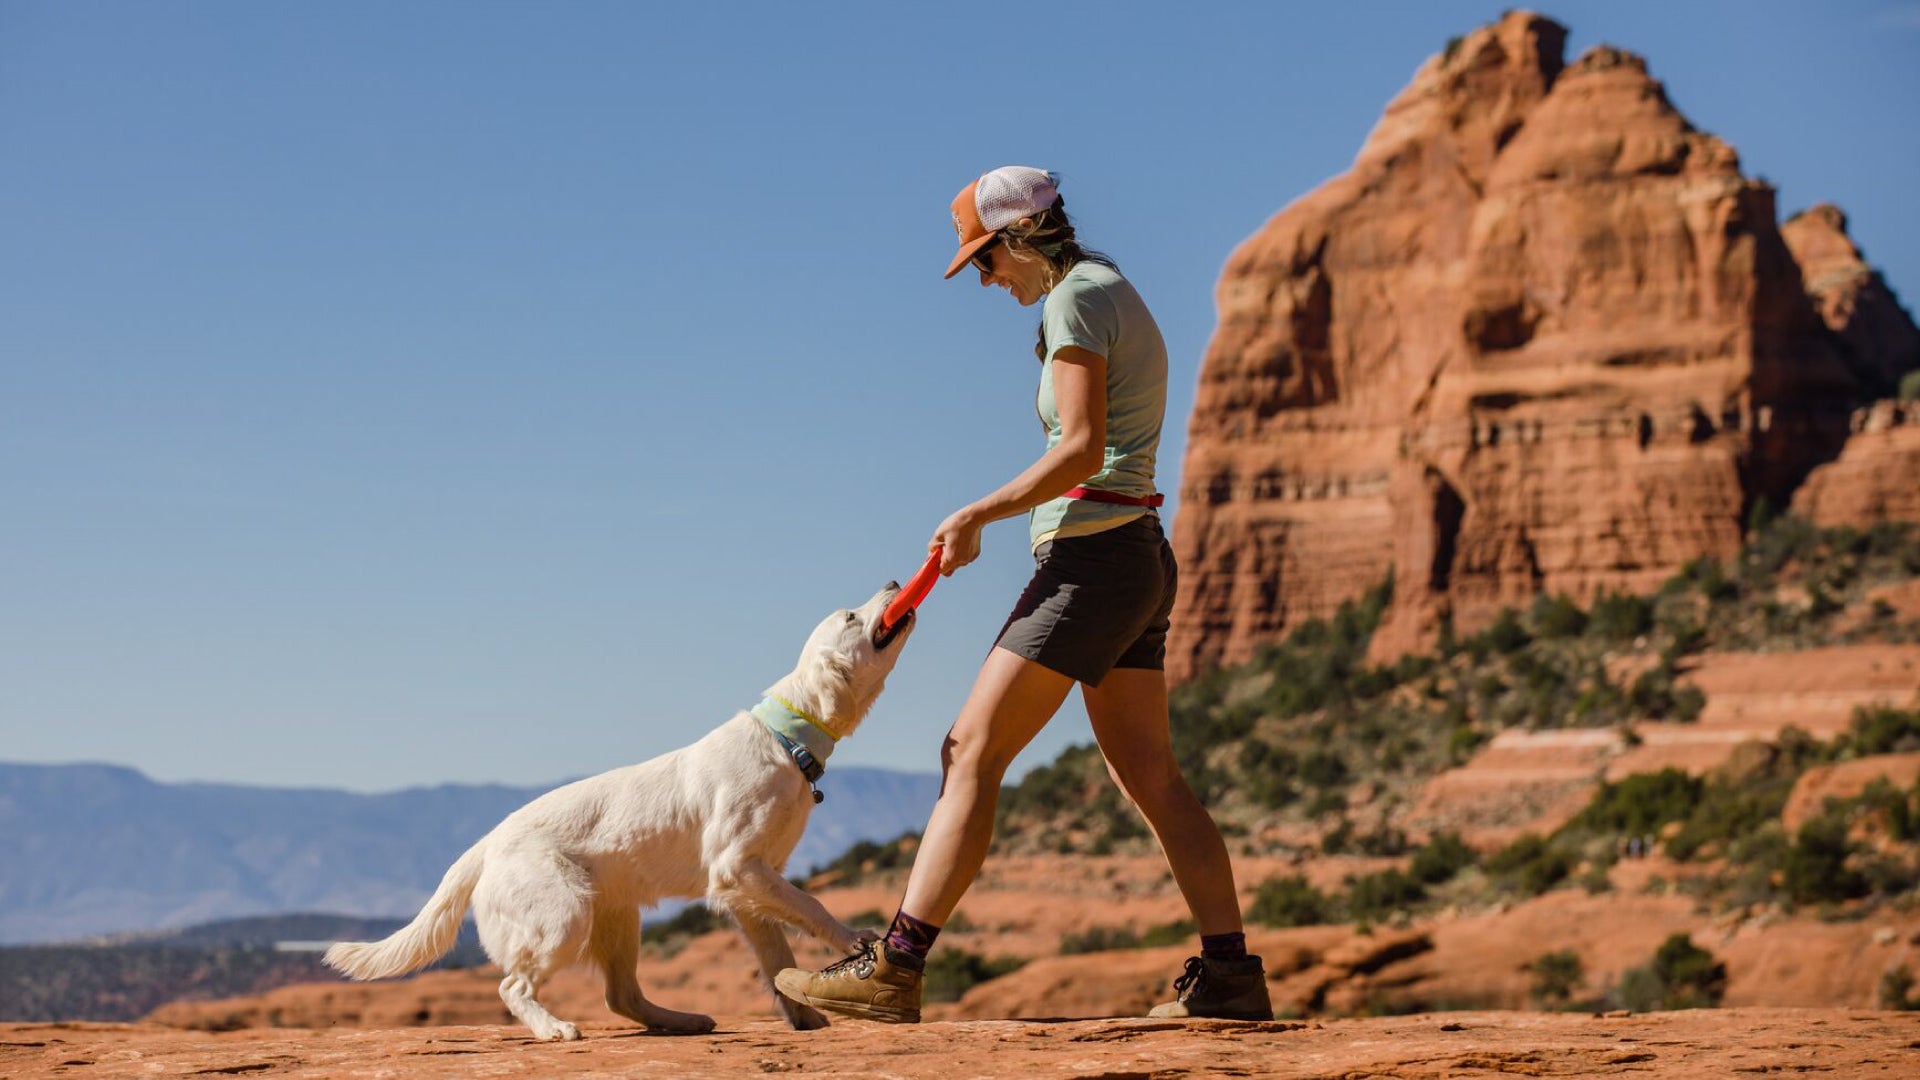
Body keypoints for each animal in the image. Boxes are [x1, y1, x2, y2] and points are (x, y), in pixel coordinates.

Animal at [326, 584, 917, 1037]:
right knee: (514, 985)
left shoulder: (751, 886)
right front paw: (854, 941)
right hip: (563, 917)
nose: (894, 581)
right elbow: (813, 906)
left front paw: (804, 1016)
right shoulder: (736, 868)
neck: (784, 738)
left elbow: (779, 963)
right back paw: (555, 1029)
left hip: (617, 916)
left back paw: (679, 1020)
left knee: (621, 996)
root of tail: (486, 844)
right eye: (850, 616)